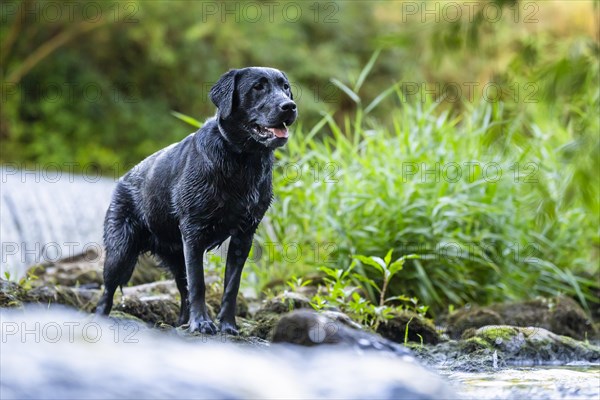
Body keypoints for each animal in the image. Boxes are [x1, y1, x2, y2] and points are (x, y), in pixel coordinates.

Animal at [96, 66, 298, 334]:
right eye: (258, 87)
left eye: (285, 87)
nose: (290, 106)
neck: (241, 160)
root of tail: (122, 180)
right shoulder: (193, 232)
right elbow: (199, 283)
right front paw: (202, 323)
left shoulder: (244, 235)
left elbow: (231, 286)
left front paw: (228, 325)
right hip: (121, 253)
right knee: (107, 291)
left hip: (175, 257)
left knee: (183, 290)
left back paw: (182, 322)